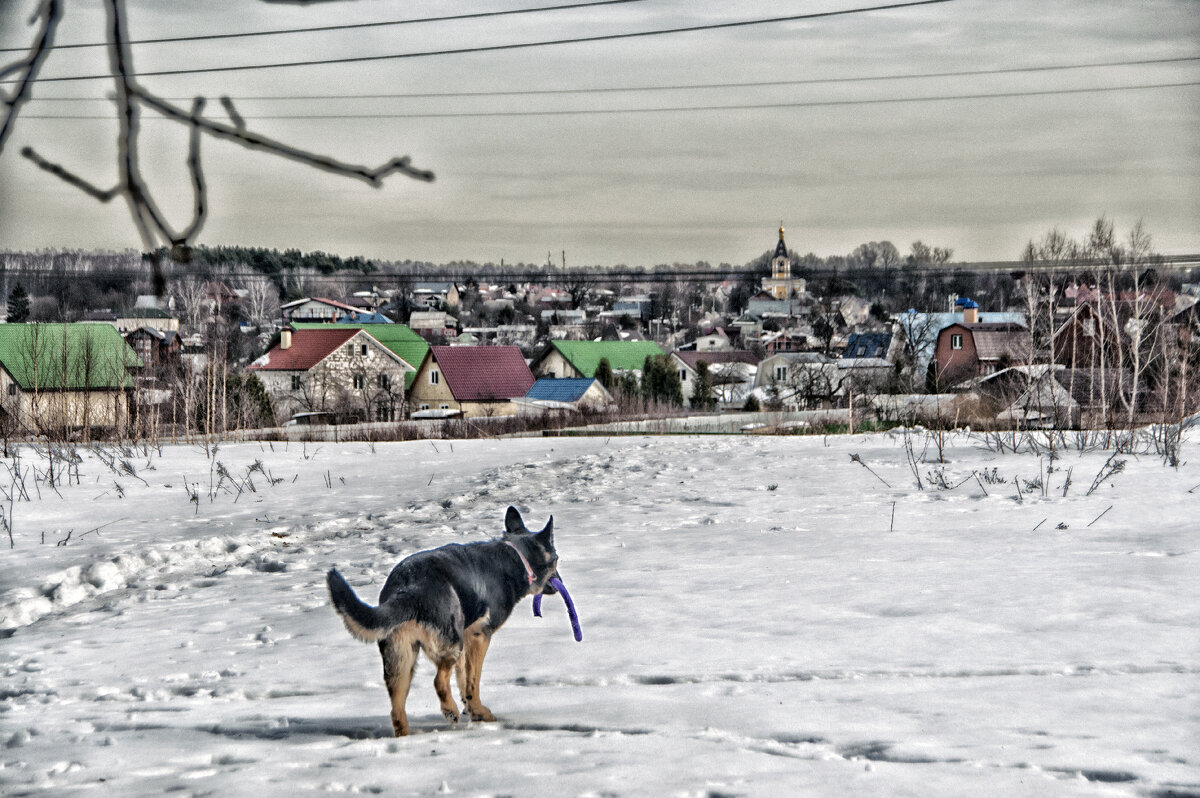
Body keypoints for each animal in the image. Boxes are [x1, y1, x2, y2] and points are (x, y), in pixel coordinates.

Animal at [324, 504, 556, 734]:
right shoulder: (479, 637)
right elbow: (472, 682)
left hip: (400, 662)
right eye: (557, 560)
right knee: (439, 681)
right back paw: (450, 711)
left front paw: (472, 710)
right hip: (450, 645)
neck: (516, 555)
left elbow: (464, 680)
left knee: (396, 711)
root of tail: (409, 588)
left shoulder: (467, 640)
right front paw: (479, 712)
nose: (558, 584)